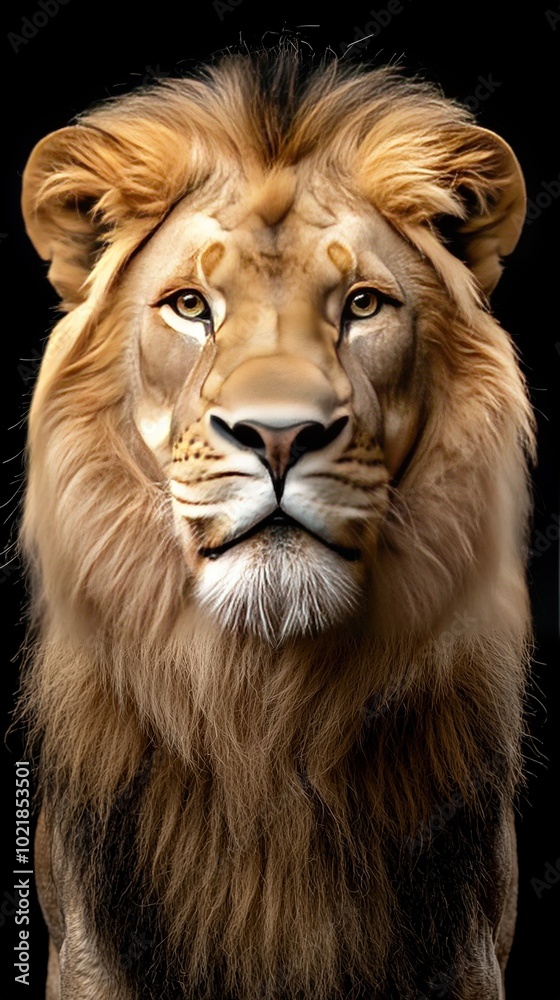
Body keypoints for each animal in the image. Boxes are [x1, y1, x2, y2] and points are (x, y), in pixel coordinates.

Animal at [19, 47, 535, 1000]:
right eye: (191, 306)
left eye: (363, 305)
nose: (280, 434)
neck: (263, 707)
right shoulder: (92, 949)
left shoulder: (467, 947)